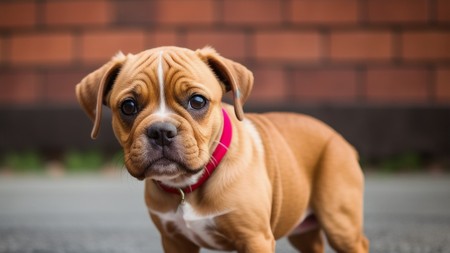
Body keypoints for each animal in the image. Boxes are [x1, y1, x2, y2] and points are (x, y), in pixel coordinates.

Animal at [74, 46, 370, 252]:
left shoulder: (255, 238)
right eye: (128, 106)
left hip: (339, 222)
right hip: (303, 229)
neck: (188, 184)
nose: (161, 131)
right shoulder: (174, 241)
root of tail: (337, 136)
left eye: (197, 101)